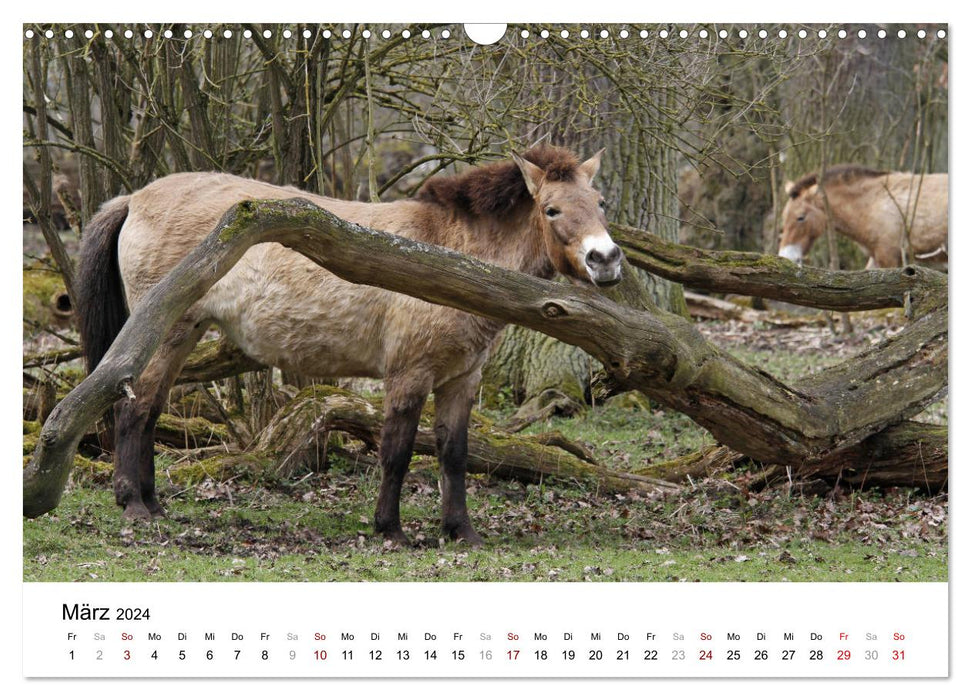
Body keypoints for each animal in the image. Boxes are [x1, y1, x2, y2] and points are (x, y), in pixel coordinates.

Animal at [76, 145, 624, 544]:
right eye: (551, 209)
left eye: (600, 204)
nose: (606, 260)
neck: (450, 258)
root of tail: (134, 199)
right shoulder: (409, 375)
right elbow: (397, 452)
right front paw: (391, 530)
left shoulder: (461, 381)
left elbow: (454, 455)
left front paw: (460, 532)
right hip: (166, 335)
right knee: (132, 410)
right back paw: (133, 506)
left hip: (182, 334)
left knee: (150, 411)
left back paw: (154, 503)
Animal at [784, 165, 948, 270]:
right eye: (784, 217)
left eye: (800, 217)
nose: (786, 257)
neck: (872, 202)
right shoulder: (876, 257)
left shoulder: (888, 257)